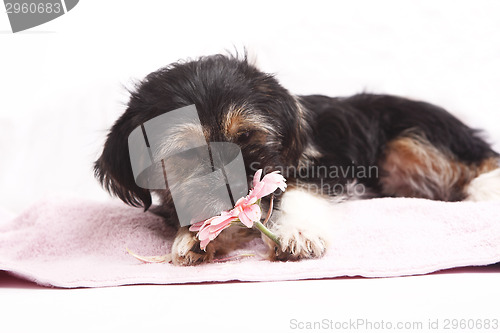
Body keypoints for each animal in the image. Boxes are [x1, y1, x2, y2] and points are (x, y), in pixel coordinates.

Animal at [94, 53, 500, 264]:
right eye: (186, 154)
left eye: (246, 139)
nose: (233, 189)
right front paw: (195, 237)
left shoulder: (321, 168)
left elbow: (299, 195)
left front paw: (297, 233)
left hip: (411, 142)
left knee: (474, 164)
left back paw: (485, 188)